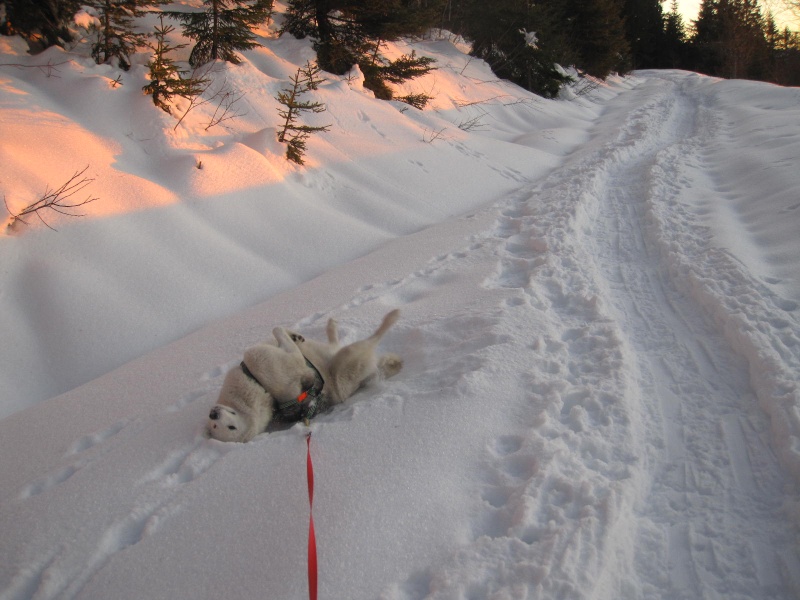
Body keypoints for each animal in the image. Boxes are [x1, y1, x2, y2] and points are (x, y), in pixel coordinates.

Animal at [209, 310, 404, 440]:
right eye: (230, 428)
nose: (213, 415)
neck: (258, 384)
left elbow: (278, 330)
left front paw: (295, 335)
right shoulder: (287, 358)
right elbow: (277, 330)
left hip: (335, 354)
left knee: (335, 343)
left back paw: (331, 325)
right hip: (348, 356)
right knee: (373, 338)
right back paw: (392, 317)